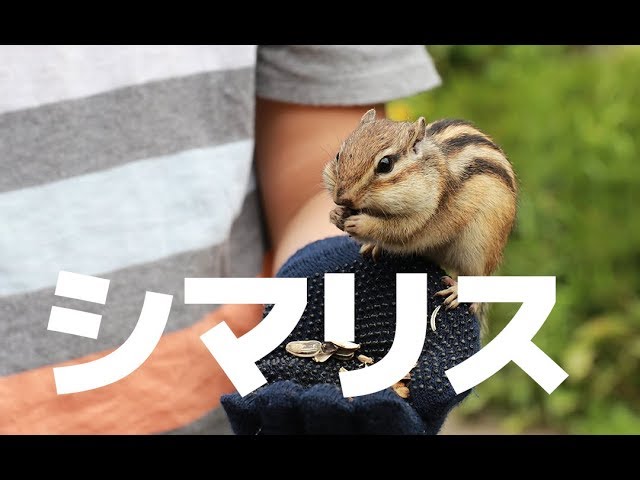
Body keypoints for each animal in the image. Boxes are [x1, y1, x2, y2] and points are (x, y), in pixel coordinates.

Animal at [323, 109, 517, 326]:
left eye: (385, 164)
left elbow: (397, 230)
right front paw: (336, 214)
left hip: (481, 248)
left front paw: (361, 223)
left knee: (478, 276)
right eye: (338, 156)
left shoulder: (423, 216)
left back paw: (458, 292)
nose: (341, 198)